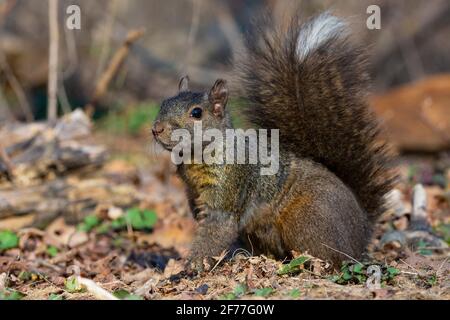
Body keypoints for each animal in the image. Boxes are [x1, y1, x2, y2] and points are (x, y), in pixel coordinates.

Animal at [153, 13, 396, 272]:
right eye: (164, 103)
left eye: (197, 113)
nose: (156, 129)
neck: (195, 157)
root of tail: (362, 229)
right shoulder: (194, 192)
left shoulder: (230, 188)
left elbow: (216, 229)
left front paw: (191, 266)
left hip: (308, 218)